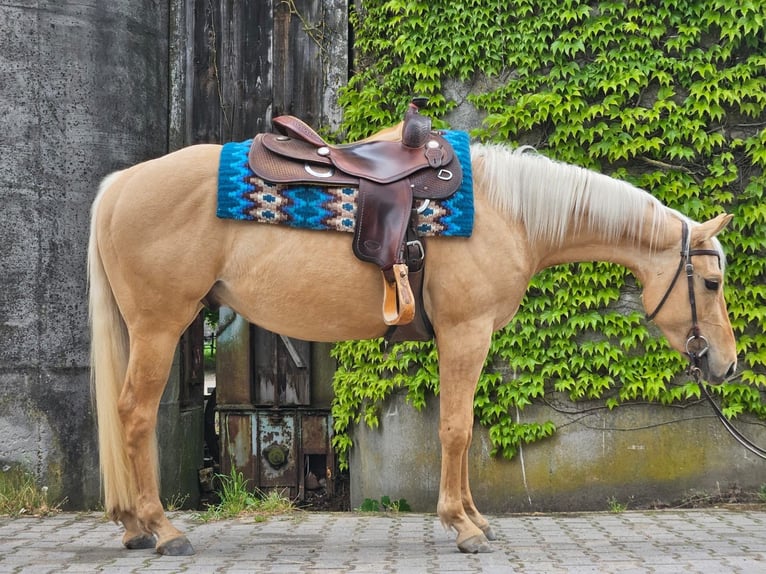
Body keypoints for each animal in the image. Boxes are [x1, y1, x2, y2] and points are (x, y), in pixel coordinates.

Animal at [88, 137, 737, 556]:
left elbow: (463, 426)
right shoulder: (466, 332)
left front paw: (474, 518)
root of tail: (121, 184)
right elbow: (456, 428)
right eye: (711, 282)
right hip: (159, 326)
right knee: (136, 414)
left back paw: (133, 527)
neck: (509, 212)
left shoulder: (468, 336)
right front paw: (463, 527)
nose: (727, 364)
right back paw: (162, 530)